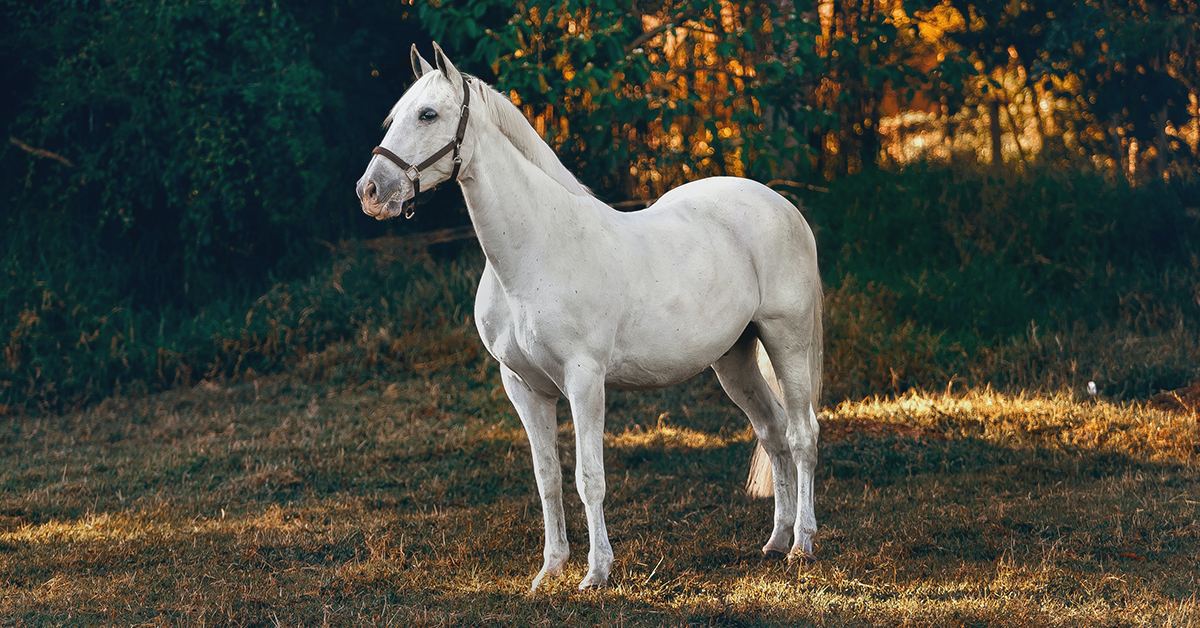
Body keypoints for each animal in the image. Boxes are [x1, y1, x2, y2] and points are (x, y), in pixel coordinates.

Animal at [356, 43, 823, 591]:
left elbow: (588, 478)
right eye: (395, 117)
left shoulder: (584, 379)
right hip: (734, 359)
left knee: (802, 434)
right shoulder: (523, 386)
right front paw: (550, 569)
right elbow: (548, 478)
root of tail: (782, 206)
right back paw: (775, 541)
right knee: (772, 433)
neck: (535, 251)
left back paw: (802, 544)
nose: (370, 191)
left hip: (786, 340)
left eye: (428, 114)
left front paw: (596, 572)